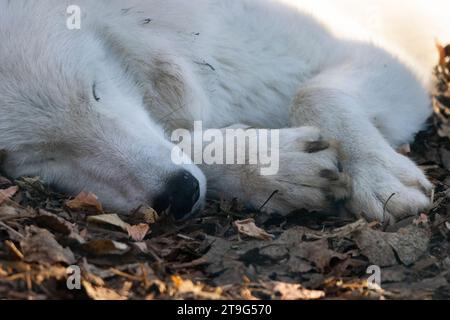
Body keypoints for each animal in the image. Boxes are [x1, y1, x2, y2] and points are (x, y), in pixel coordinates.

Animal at [0, 0, 448, 222]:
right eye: (38, 156)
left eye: (95, 91)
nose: (179, 195)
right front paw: (271, 167)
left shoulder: (384, 61)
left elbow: (313, 91)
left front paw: (376, 174)